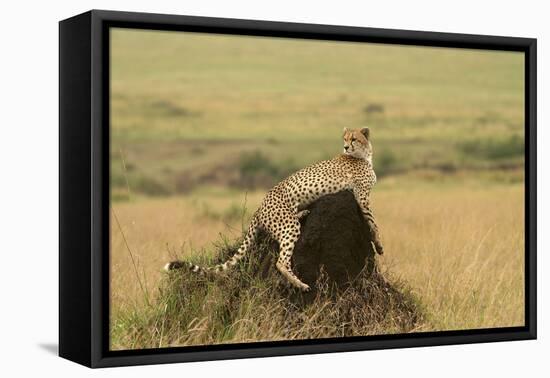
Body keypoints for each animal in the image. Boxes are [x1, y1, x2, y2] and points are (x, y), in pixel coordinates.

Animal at [166, 127, 386, 292]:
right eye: (345, 138)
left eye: (354, 139)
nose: (346, 146)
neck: (363, 155)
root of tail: (258, 208)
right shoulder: (362, 197)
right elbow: (373, 223)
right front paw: (378, 244)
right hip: (289, 227)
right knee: (280, 262)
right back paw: (301, 284)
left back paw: (303, 214)